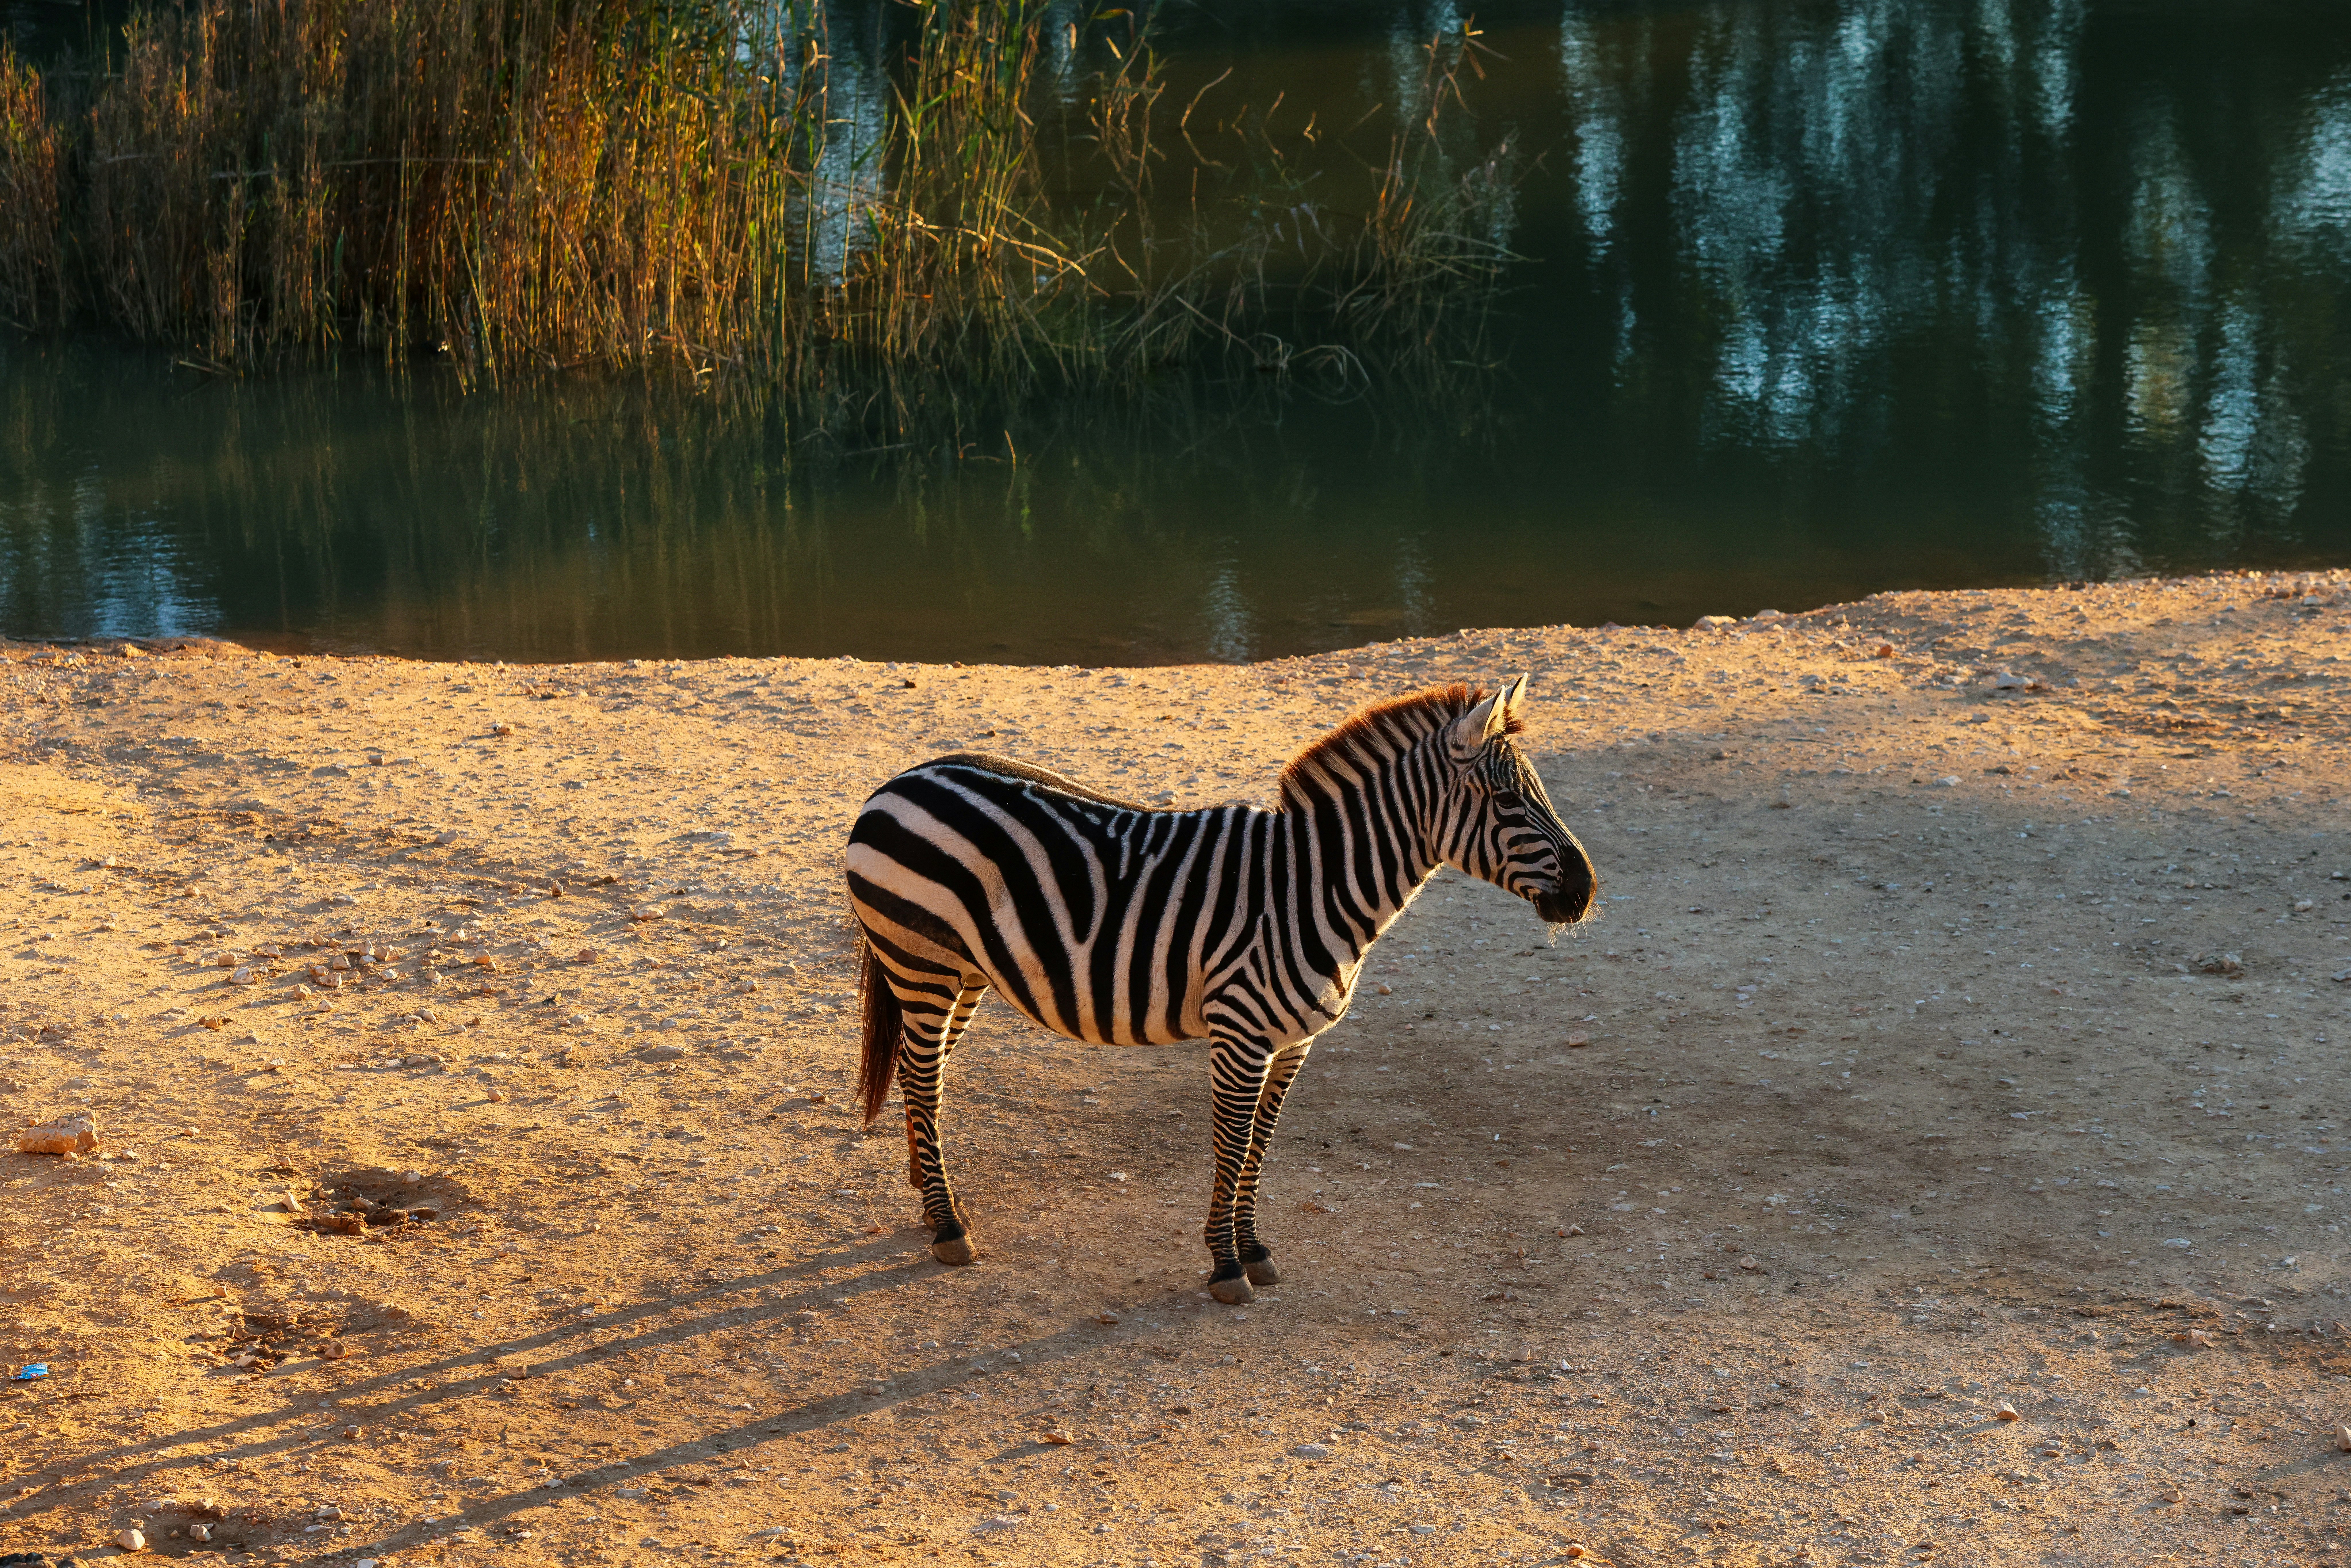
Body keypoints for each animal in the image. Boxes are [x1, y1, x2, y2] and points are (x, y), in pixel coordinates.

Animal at [844, 677, 1596, 1304]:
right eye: (1507, 800)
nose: (1587, 892)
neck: (1312, 885)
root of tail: (902, 778)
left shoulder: (1293, 1043)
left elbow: (1261, 1139)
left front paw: (1254, 1248)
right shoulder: (1241, 1033)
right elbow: (1231, 1144)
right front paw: (1226, 1265)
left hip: (963, 972)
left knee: (921, 1073)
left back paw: (932, 1198)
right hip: (922, 961)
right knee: (923, 1076)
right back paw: (946, 1225)